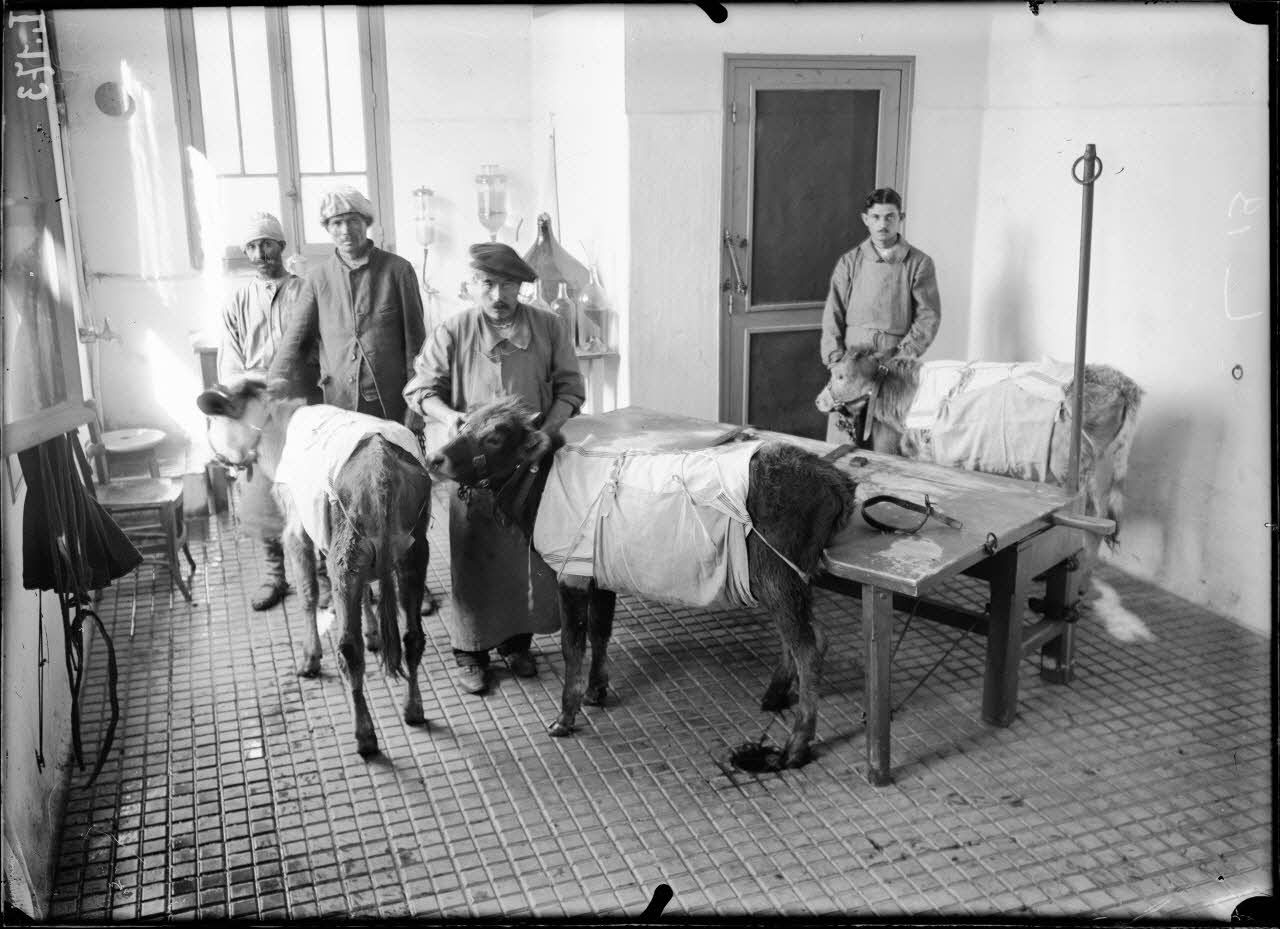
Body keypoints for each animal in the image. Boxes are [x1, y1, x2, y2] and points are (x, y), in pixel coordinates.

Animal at [197, 381, 432, 762]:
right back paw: (414, 709)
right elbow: (366, 597)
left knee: (348, 648)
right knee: (412, 636)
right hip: (410, 549)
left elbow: (308, 594)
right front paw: (373, 633)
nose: (214, 458)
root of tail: (380, 463)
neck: (276, 431)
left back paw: (365, 736)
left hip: (346, 552)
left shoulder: (296, 529)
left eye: (210, 422)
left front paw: (309, 657)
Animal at [427, 399, 860, 772]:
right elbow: (600, 632)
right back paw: (776, 695)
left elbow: (573, 646)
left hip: (777, 573)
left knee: (809, 646)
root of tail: (836, 482)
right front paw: (596, 692)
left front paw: (565, 716)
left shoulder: (572, 573)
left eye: (495, 436)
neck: (543, 487)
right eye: (463, 423)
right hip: (789, 578)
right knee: (807, 637)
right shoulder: (599, 573)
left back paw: (797, 745)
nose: (435, 458)